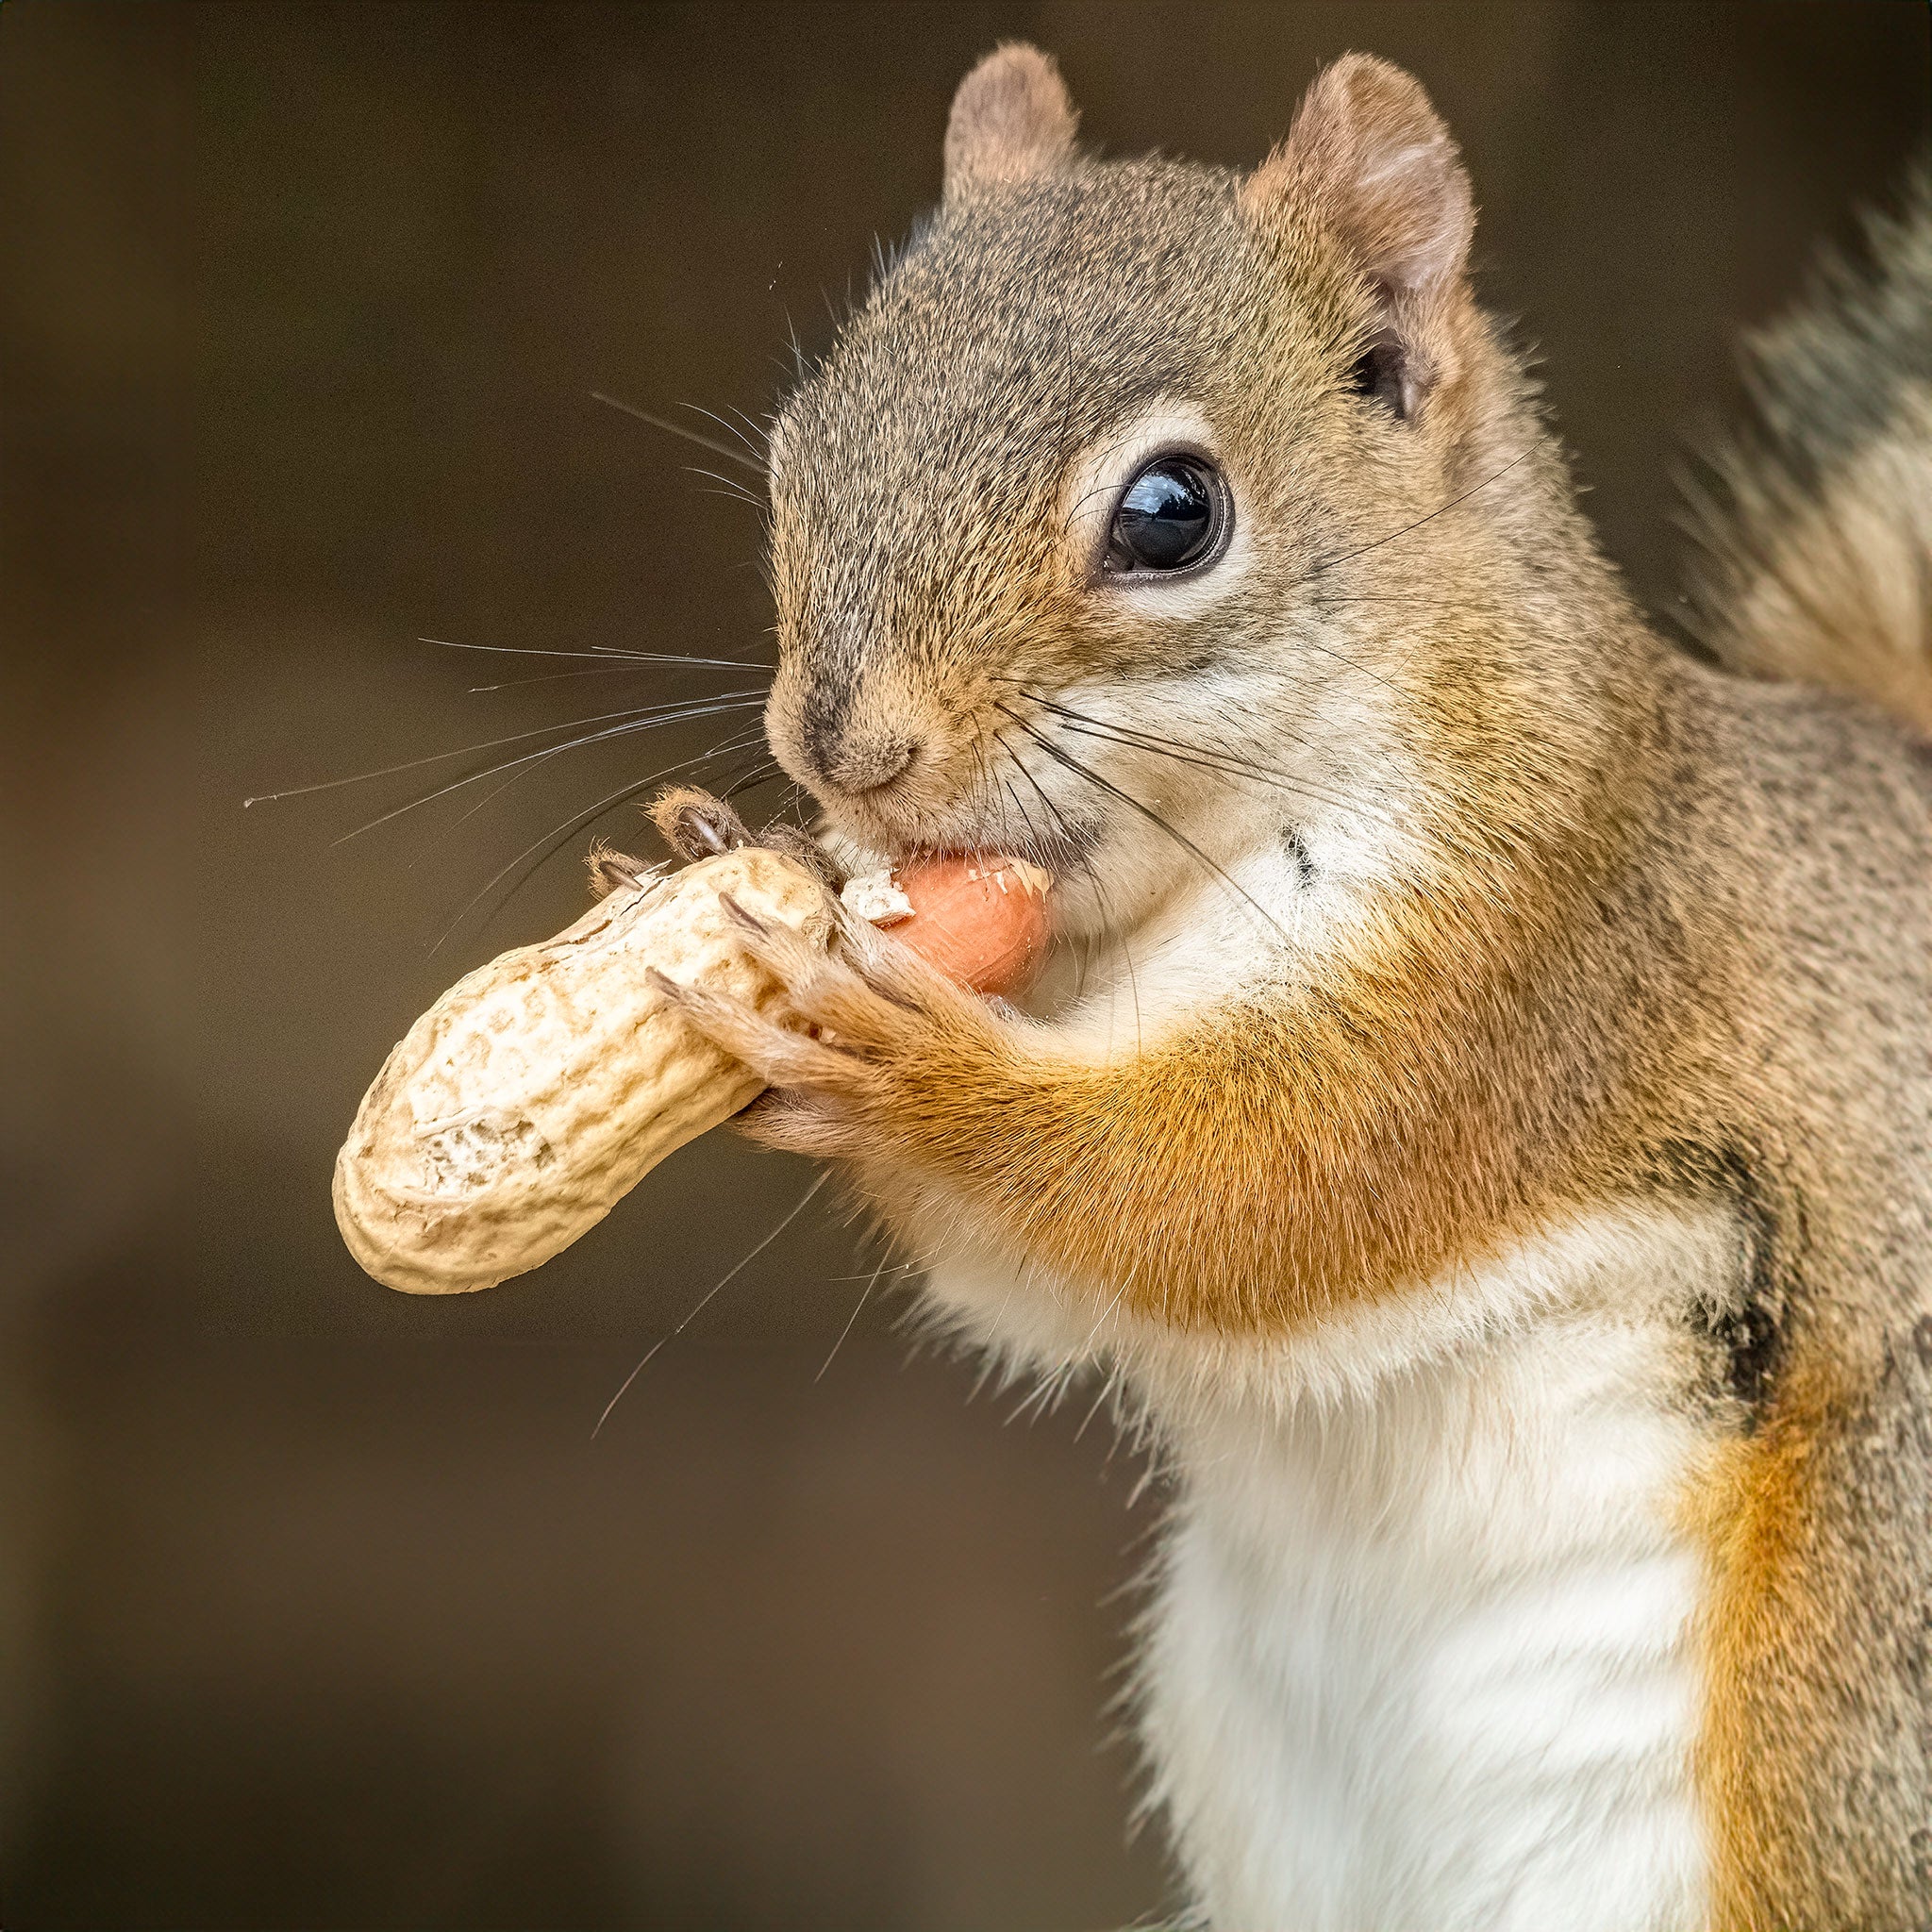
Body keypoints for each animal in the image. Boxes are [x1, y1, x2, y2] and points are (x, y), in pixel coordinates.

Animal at [653, 45, 1932, 1932]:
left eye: (1169, 515)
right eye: (804, 443)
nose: (842, 750)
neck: (1144, 929)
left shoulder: (1534, 958)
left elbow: (1250, 1187)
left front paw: (907, 1069)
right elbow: (1035, 1282)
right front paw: (714, 864)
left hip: (1843, 1694)